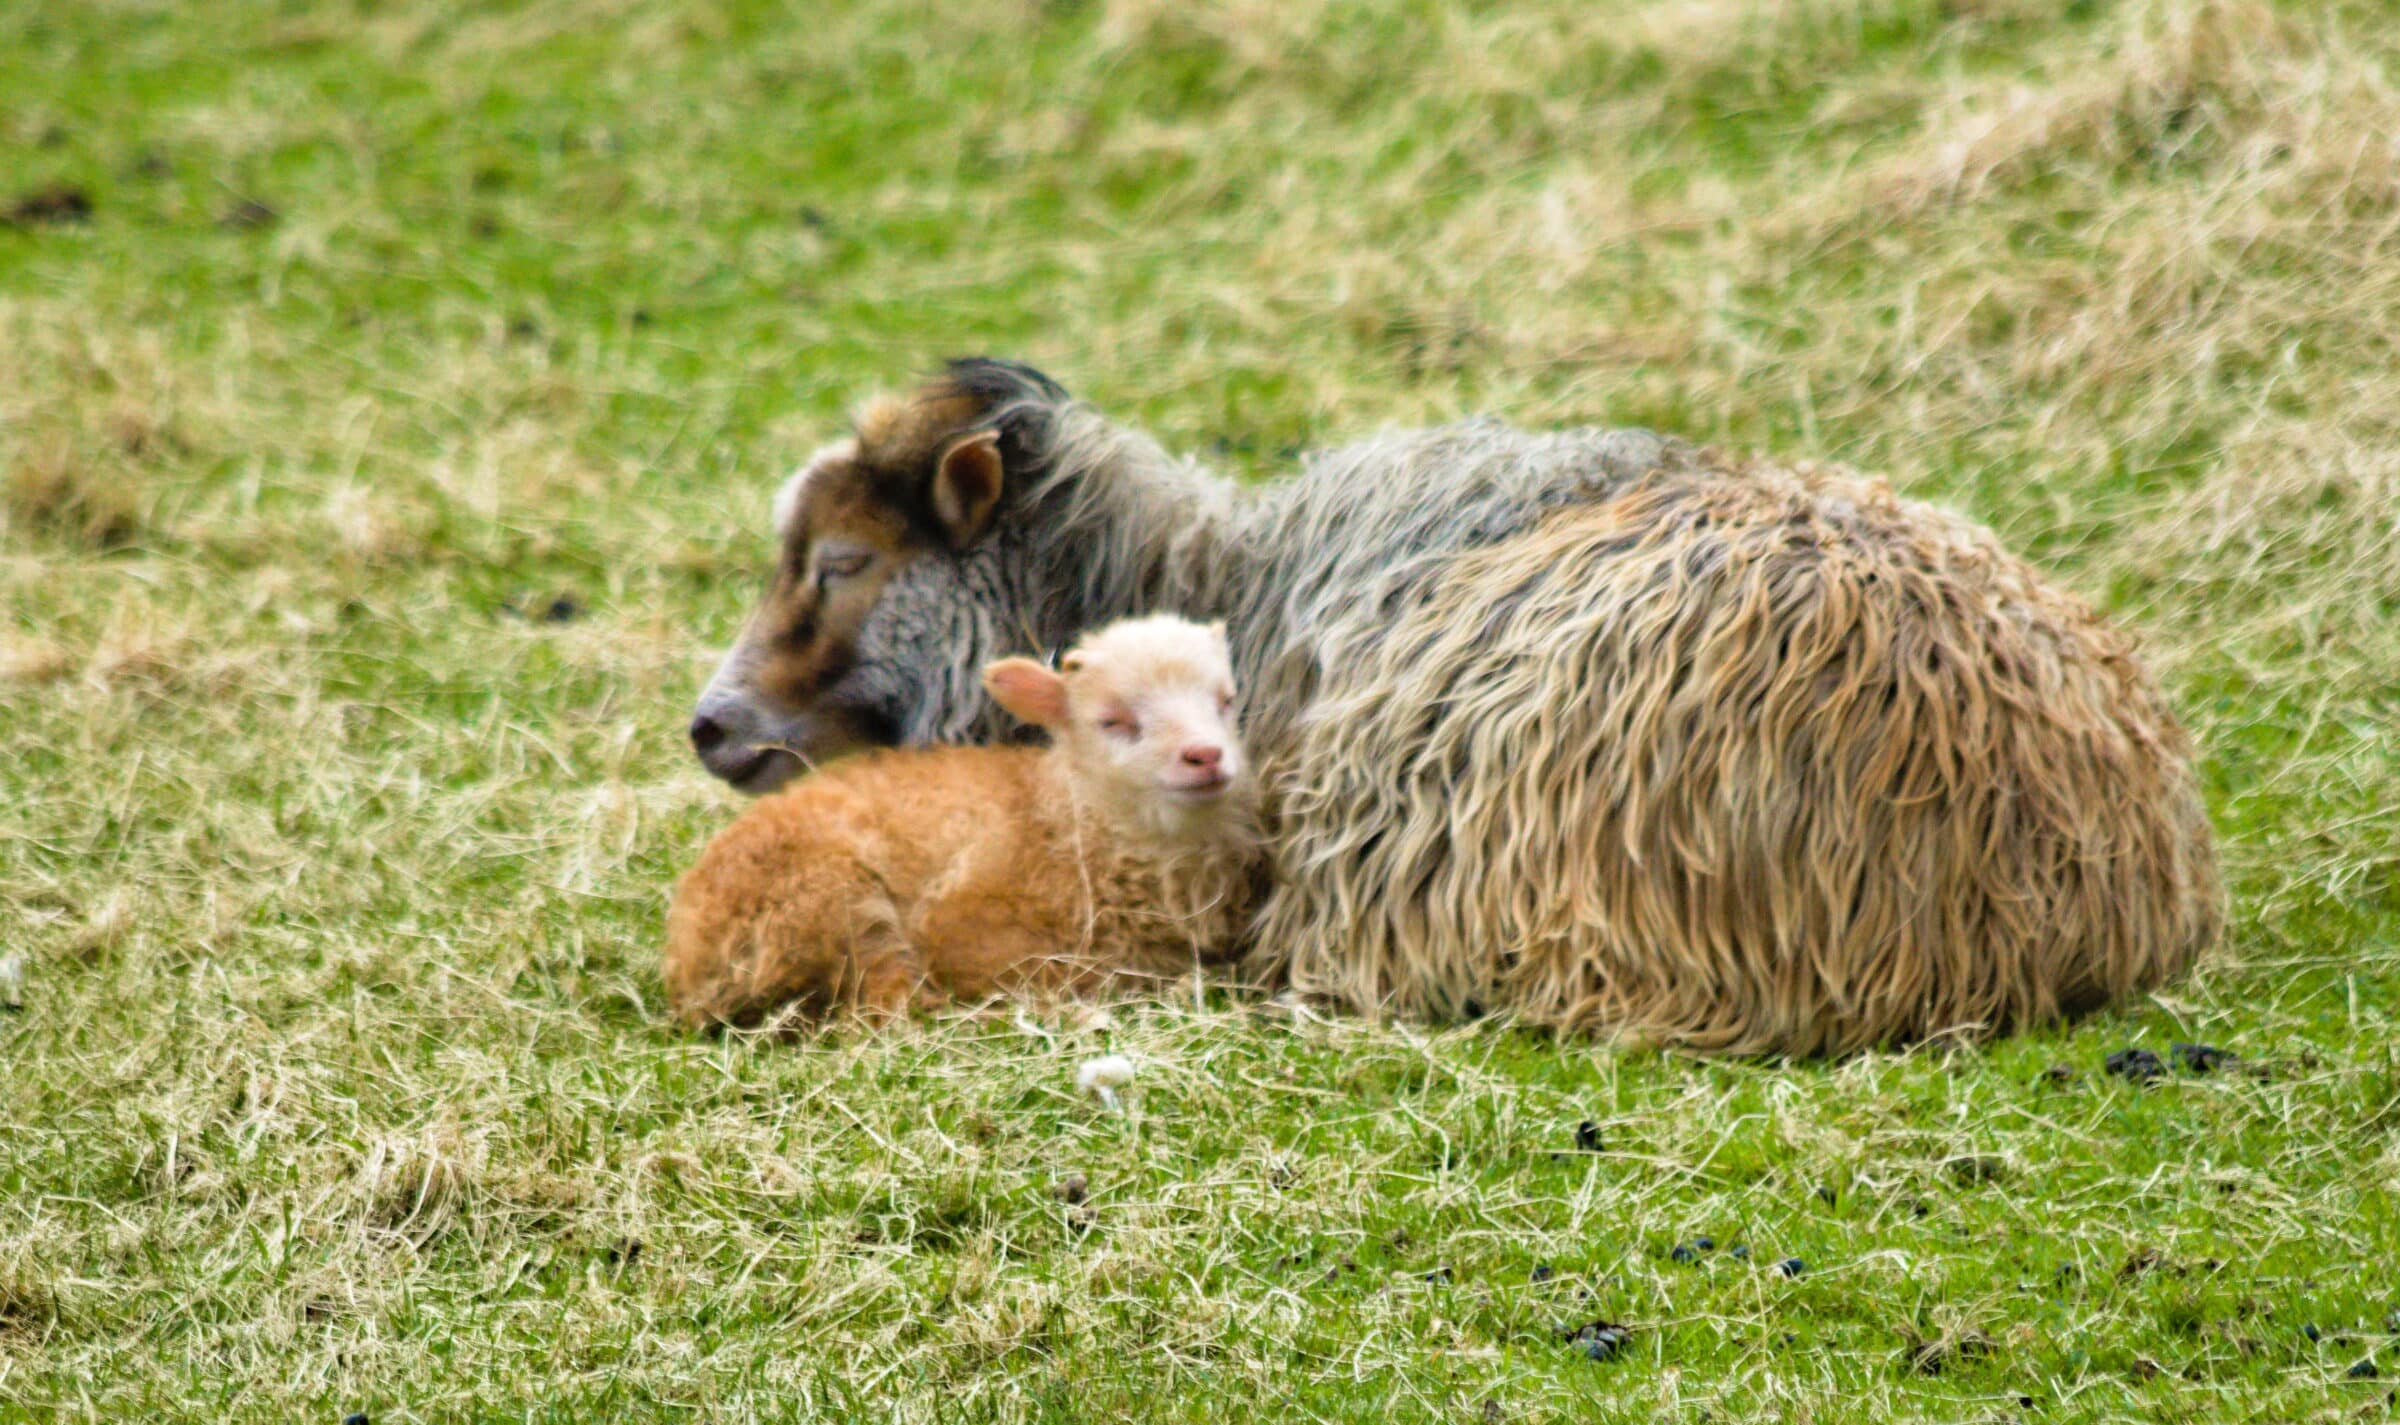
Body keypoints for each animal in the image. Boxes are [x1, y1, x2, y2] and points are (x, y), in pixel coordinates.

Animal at [657, 609, 1257, 1021]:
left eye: (1226, 701)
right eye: (1114, 721)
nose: (1206, 756)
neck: (1067, 817)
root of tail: (686, 955)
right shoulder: (965, 920)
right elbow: (1050, 969)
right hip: (826, 898)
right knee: (881, 1009)